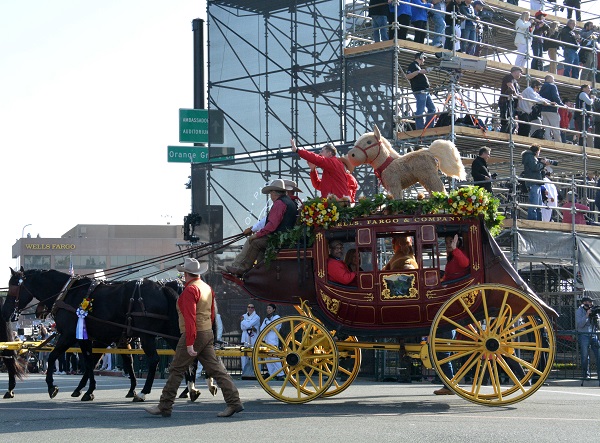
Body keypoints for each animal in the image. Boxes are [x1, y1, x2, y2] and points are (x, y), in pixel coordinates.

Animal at [2, 268, 193, 402]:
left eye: (13, 288)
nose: (5, 311)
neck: (68, 293)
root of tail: (162, 287)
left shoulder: (70, 336)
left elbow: (54, 357)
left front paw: (52, 387)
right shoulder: (91, 338)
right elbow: (91, 362)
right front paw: (87, 390)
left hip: (148, 336)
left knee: (154, 359)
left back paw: (144, 392)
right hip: (167, 332)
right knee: (184, 355)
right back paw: (190, 389)